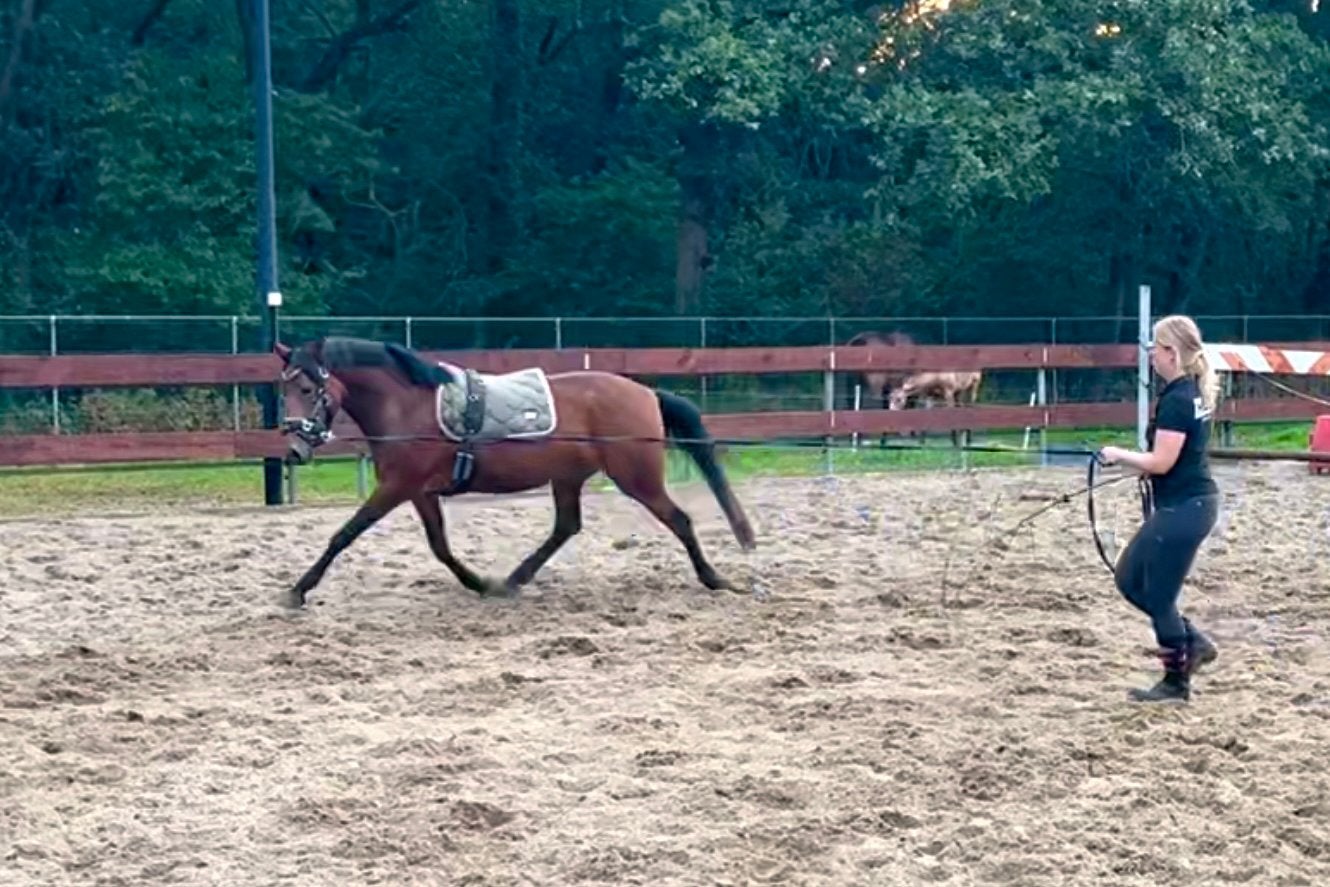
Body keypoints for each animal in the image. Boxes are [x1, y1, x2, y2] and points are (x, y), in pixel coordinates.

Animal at [273, 336, 757, 609]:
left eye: (307, 388)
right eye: (282, 388)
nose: (294, 449)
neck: (407, 405)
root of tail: (644, 392)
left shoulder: (396, 487)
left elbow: (345, 533)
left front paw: (298, 590)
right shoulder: (419, 492)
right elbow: (439, 546)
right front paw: (478, 582)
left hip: (636, 478)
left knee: (679, 519)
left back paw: (714, 579)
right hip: (569, 478)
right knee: (566, 526)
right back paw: (512, 581)